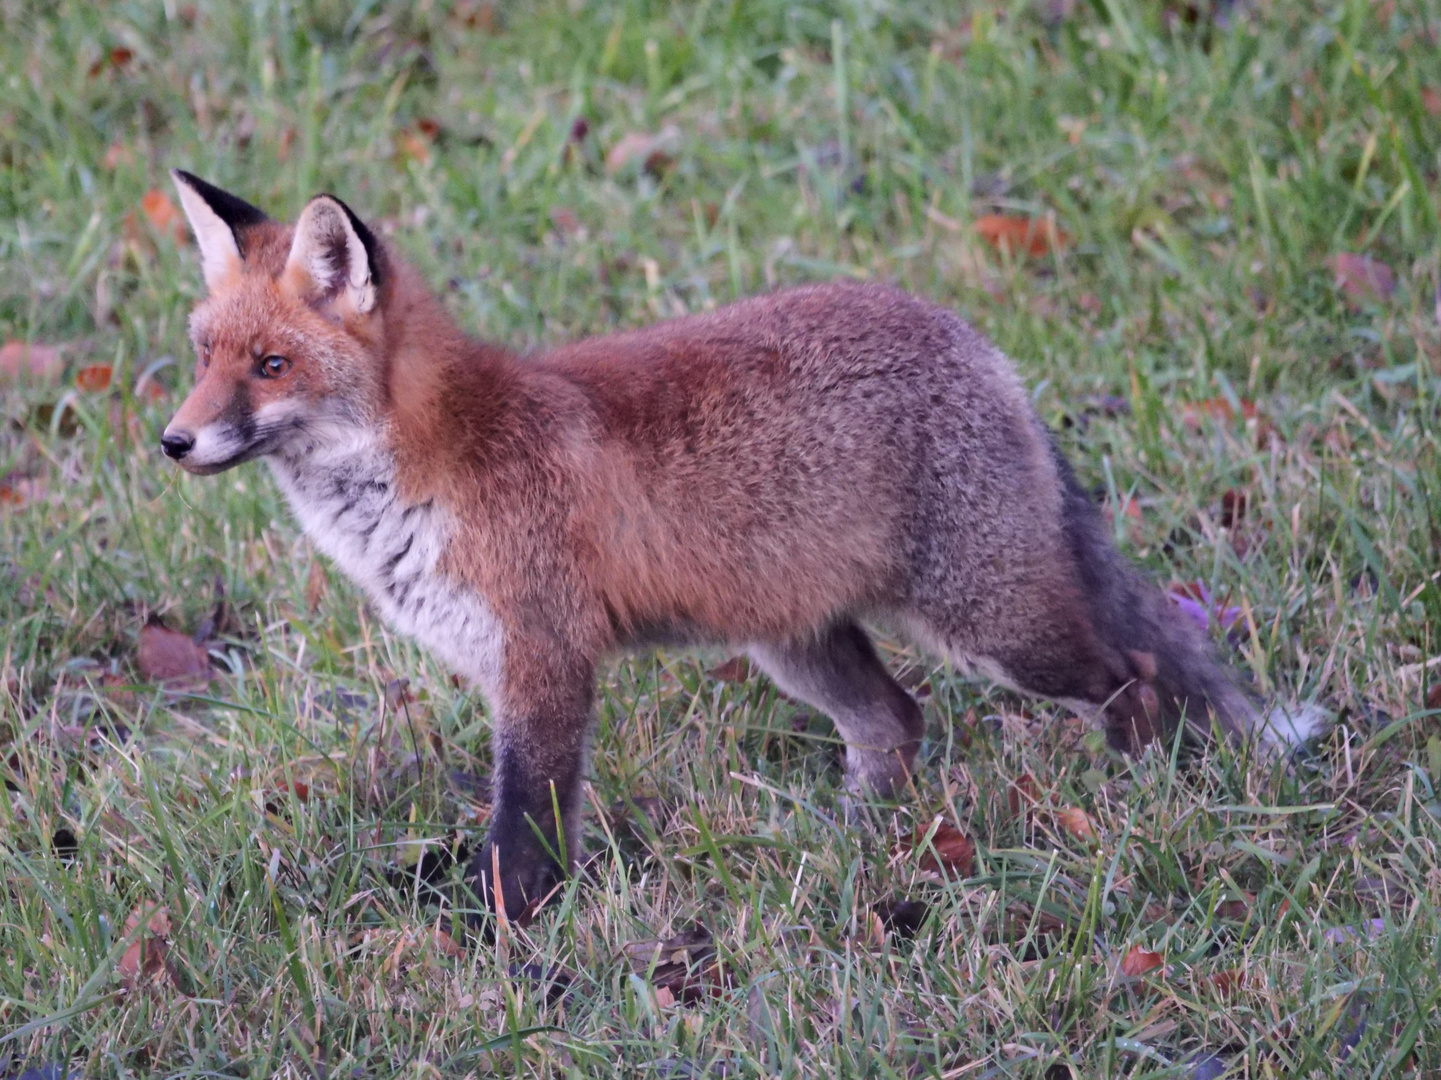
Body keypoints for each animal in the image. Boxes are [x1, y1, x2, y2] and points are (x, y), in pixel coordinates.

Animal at [160, 173, 1285, 922]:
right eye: (202, 355)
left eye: (271, 365)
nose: (171, 441)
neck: (432, 464)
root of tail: (978, 347)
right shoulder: (506, 668)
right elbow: (527, 819)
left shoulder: (545, 659)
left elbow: (524, 829)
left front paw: (505, 946)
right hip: (797, 643)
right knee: (896, 722)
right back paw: (845, 845)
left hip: (995, 626)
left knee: (1132, 675)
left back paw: (1133, 798)